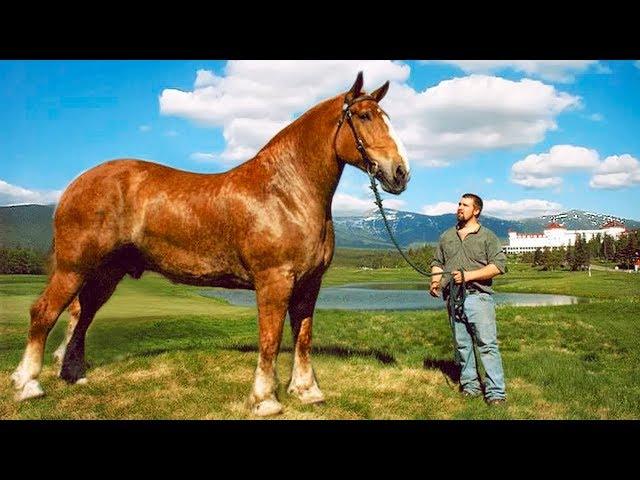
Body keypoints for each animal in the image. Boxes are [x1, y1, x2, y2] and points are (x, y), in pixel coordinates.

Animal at [11, 72, 410, 416]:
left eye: (386, 117)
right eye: (364, 116)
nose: (400, 172)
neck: (285, 192)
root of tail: (76, 185)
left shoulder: (309, 284)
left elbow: (303, 337)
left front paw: (307, 392)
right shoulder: (274, 281)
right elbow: (270, 339)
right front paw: (265, 400)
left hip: (105, 274)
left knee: (83, 315)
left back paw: (74, 375)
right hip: (73, 267)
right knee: (44, 313)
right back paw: (28, 384)